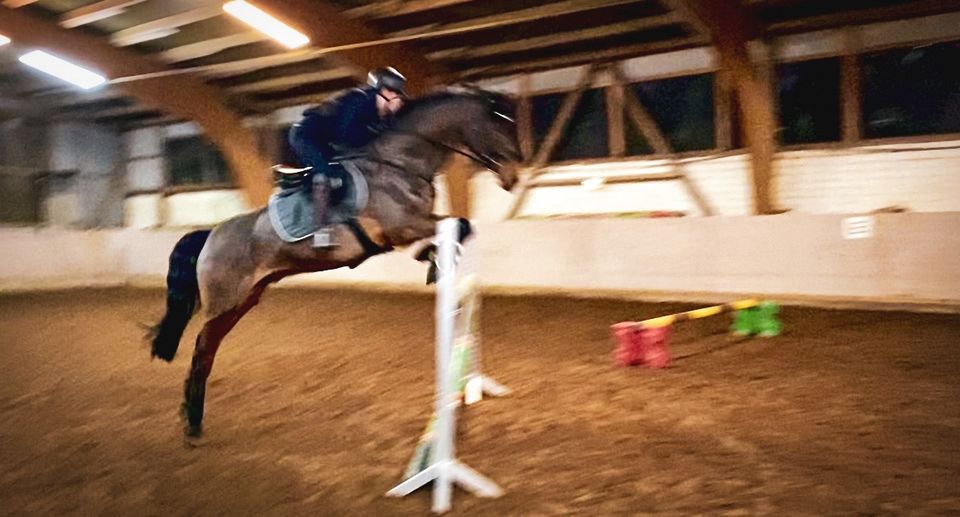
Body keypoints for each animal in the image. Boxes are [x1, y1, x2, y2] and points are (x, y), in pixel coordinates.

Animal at [149, 87, 520, 436]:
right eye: (498, 124)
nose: (513, 178)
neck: (401, 163)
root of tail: (211, 235)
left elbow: (461, 225)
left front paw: (431, 258)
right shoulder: (402, 227)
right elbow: (457, 223)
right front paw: (430, 259)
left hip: (243, 301)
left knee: (209, 349)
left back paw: (192, 416)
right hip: (224, 302)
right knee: (202, 349)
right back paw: (193, 423)